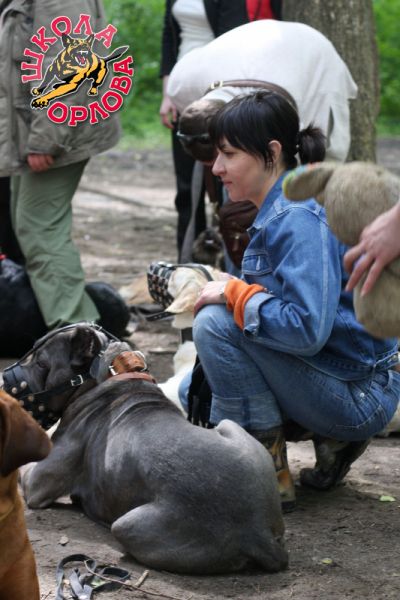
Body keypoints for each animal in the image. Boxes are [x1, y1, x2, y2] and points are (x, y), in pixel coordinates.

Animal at [15, 324, 288, 574]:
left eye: (41, 363)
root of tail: (257, 532)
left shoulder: (38, 481)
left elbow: (24, 467)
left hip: (127, 525)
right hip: (231, 426)